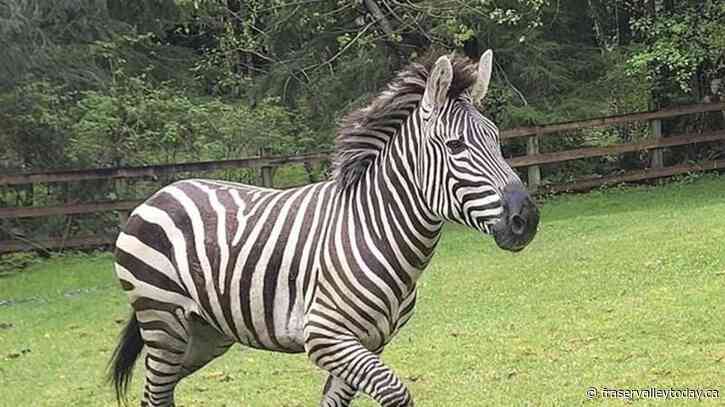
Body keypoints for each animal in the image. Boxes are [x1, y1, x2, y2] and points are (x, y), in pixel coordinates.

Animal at [109, 50, 539, 407]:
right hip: (163, 320)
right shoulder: (325, 336)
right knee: (155, 392)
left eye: (497, 140)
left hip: (204, 334)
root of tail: (160, 193)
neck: (376, 231)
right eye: (455, 147)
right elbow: (395, 392)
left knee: (158, 393)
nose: (527, 219)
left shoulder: (370, 342)